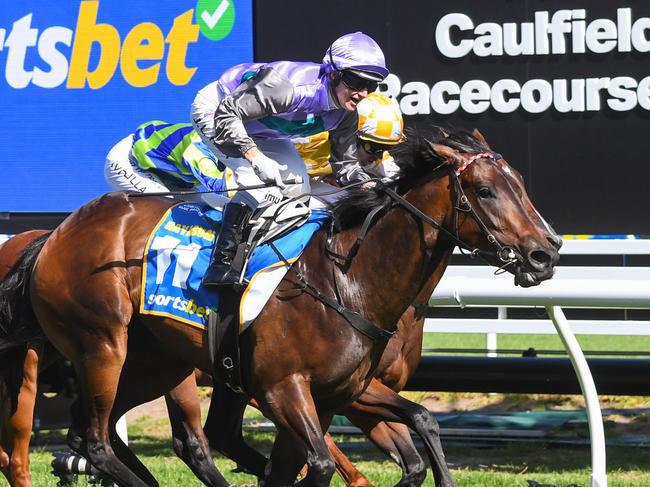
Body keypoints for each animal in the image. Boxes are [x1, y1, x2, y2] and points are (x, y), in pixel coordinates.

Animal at [0, 127, 556, 486]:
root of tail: (53, 235)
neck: (348, 282)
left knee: (97, 435)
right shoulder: (282, 389)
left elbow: (419, 427)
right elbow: (324, 464)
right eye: (484, 191)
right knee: (98, 440)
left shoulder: (338, 395)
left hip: (154, 363)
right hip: (103, 347)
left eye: (522, 186)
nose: (545, 253)